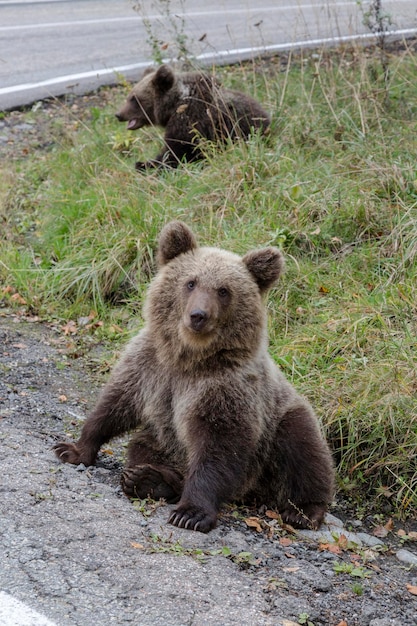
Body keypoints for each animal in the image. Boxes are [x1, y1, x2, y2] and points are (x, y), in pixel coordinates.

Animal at [54, 221, 334, 532]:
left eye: (223, 290)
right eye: (190, 282)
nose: (198, 315)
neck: (189, 358)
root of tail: (250, 492)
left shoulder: (225, 387)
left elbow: (219, 446)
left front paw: (191, 513)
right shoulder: (150, 367)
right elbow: (114, 405)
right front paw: (72, 449)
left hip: (278, 423)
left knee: (303, 451)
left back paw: (304, 511)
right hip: (163, 438)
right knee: (144, 446)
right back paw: (149, 479)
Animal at [114, 65, 270, 171]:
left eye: (134, 99)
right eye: (130, 96)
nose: (118, 114)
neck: (173, 105)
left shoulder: (190, 121)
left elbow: (177, 152)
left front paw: (146, 164)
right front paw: (144, 163)